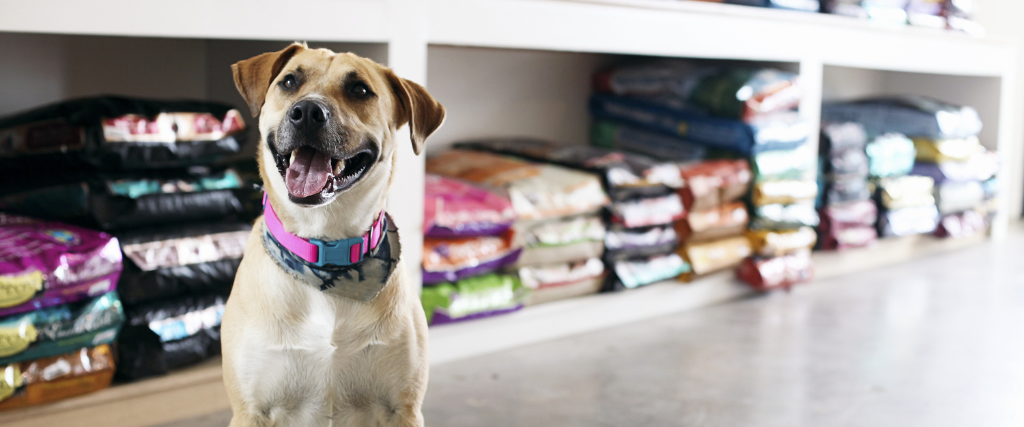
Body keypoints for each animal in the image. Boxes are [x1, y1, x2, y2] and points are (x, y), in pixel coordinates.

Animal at [220, 42, 444, 425]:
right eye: (289, 81)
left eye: (360, 90)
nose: (308, 112)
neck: (326, 248)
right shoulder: (250, 411)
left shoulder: (404, 409)